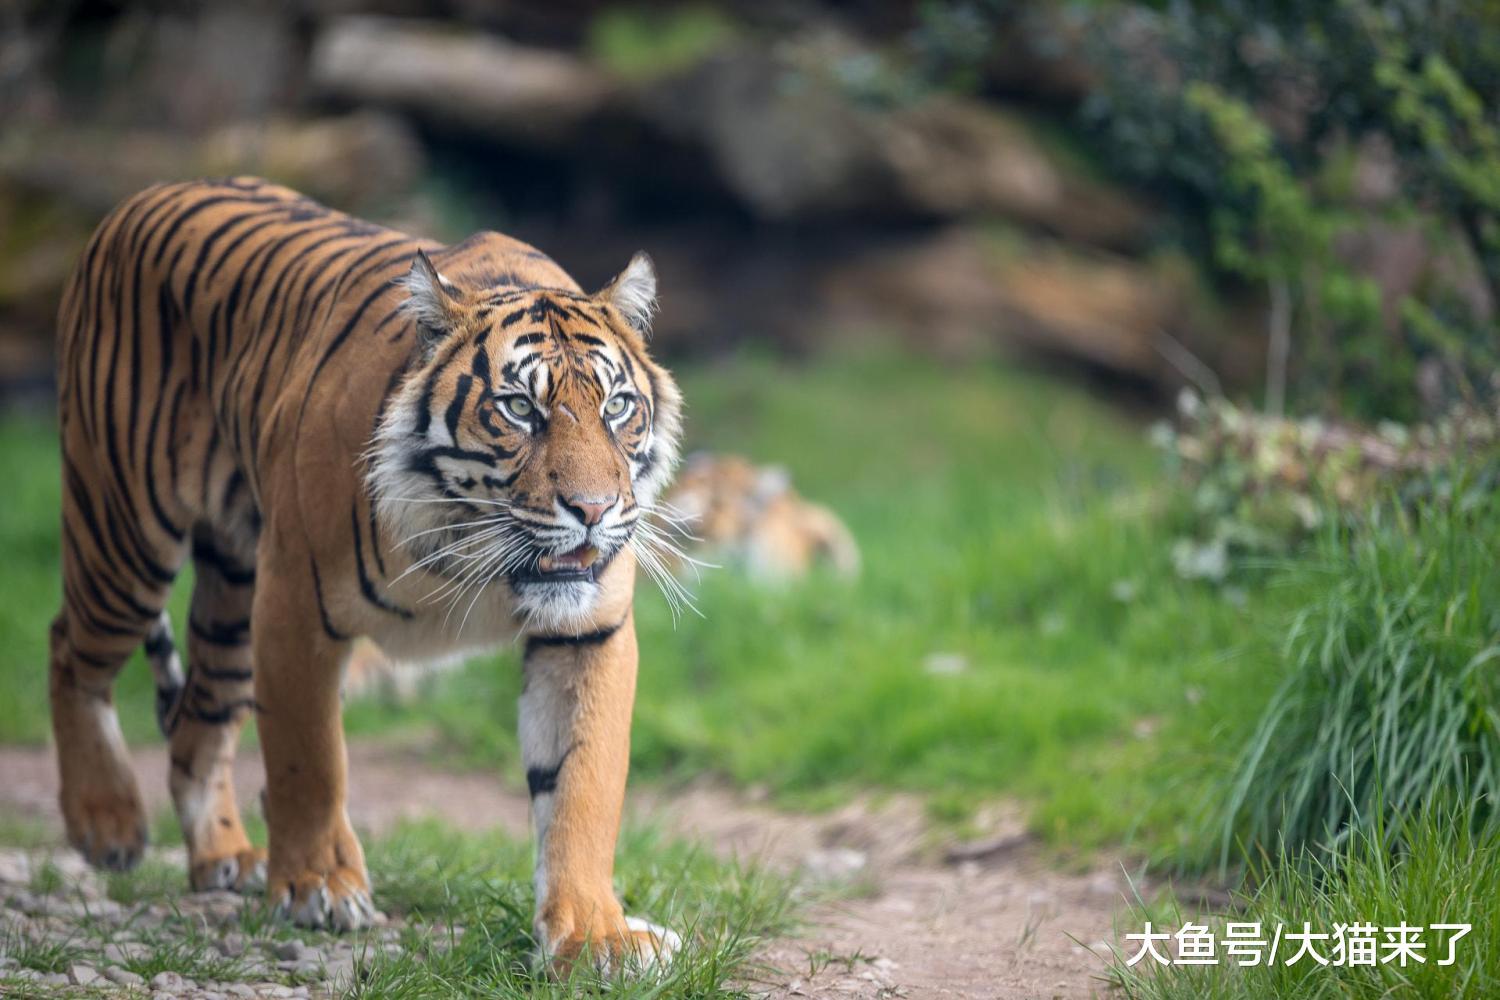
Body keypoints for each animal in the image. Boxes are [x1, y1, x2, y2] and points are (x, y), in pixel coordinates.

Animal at [50, 176, 683, 973]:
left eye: (618, 406)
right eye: (518, 409)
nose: (594, 511)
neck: (471, 550)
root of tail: (145, 195)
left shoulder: (587, 632)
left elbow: (582, 787)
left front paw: (595, 935)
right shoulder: (294, 605)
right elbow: (310, 759)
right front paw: (318, 888)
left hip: (231, 590)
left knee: (199, 718)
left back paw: (224, 856)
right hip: (125, 529)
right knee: (70, 651)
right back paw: (106, 824)